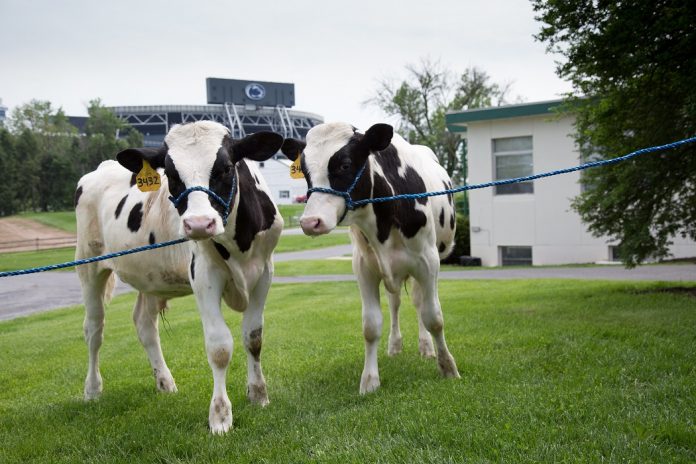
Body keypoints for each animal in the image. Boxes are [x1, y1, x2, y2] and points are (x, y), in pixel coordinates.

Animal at [74, 121, 284, 433]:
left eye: (225, 168)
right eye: (171, 175)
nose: (198, 224)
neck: (240, 241)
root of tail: (101, 168)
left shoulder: (264, 272)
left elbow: (253, 337)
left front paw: (258, 394)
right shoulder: (204, 275)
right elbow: (219, 346)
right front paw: (220, 416)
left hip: (150, 277)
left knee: (145, 325)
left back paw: (165, 382)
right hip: (88, 265)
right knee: (94, 329)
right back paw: (92, 389)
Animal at [281, 122, 460, 394]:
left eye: (345, 165)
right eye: (306, 172)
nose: (310, 222)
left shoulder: (428, 263)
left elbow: (434, 318)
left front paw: (448, 367)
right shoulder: (364, 268)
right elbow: (371, 326)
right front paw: (369, 379)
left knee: (419, 303)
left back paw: (426, 346)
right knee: (395, 303)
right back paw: (395, 345)